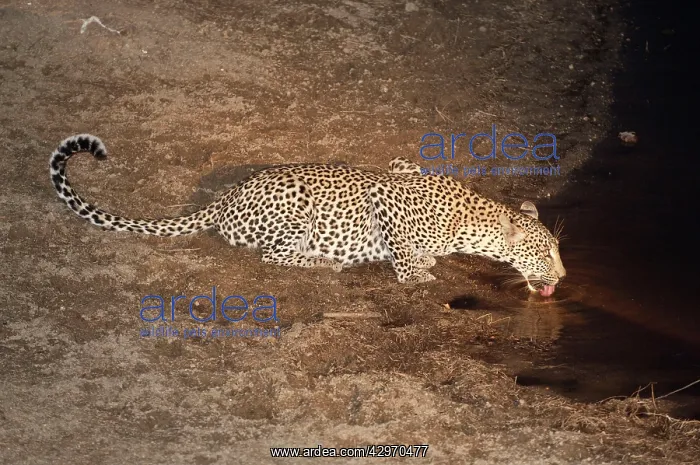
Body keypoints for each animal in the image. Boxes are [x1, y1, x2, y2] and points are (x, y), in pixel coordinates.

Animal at [49, 134, 566, 296]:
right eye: (544, 253)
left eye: (558, 249)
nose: (563, 275)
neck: (472, 220)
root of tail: (225, 197)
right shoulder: (386, 196)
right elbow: (405, 256)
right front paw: (418, 272)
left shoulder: (401, 164)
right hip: (296, 208)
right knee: (274, 257)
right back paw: (323, 261)